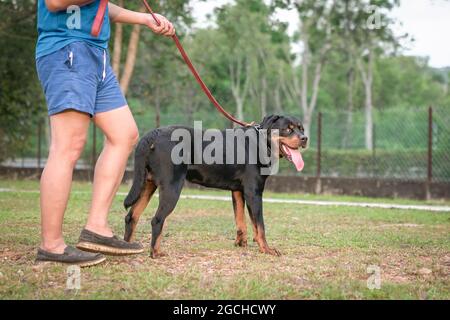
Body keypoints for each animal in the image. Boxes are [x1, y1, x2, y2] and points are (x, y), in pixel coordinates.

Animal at [123, 115, 308, 258]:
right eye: (288, 129)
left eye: (301, 128)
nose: (304, 138)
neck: (262, 143)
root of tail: (152, 135)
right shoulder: (253, 191)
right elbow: (260, 225)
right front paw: (267, 249)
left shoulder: (238, 191)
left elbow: (240, 220)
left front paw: (241, 243)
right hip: (171, 186)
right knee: (156, 220)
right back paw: (155, 252)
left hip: (147, 183)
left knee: (132, 216)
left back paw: (128, 247)